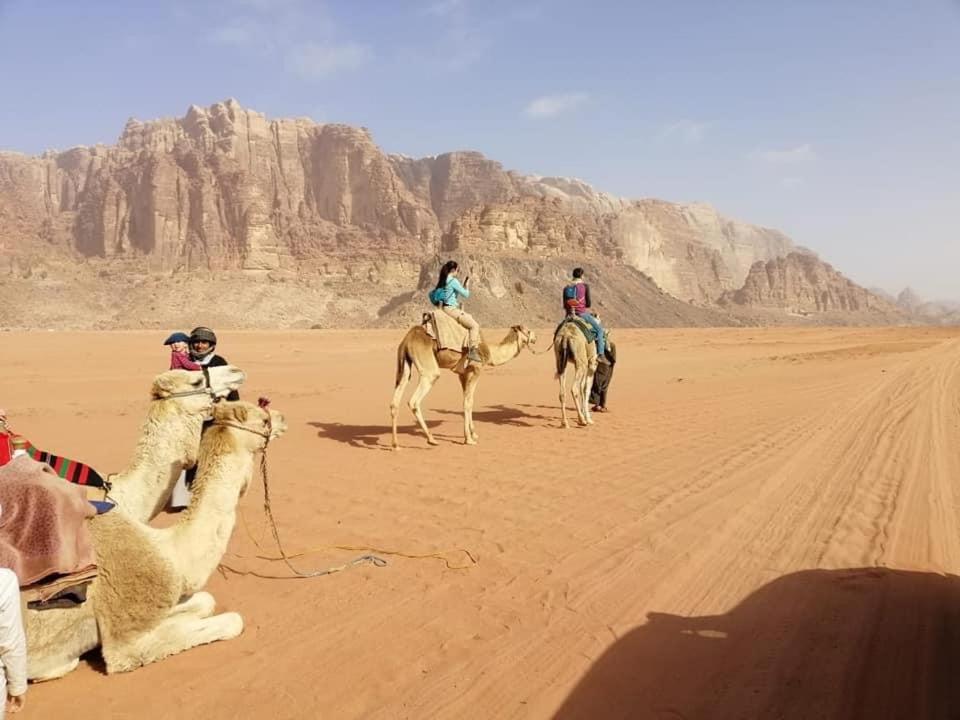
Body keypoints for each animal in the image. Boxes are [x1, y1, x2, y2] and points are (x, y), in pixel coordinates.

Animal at [24, 400, 284, 680]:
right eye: (263, 420)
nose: (282, 418)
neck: (170, 552)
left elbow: (205, 601)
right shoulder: (126, 640)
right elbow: (233, 620)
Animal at [392, 324, 540, 448]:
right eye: (527, 330)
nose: (535, 337)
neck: (490, 351)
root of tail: (406, 341)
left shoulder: (462, 374)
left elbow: (467, 401)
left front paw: (473, 434)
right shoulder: (475, 369)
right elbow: (468, 402)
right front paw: (468, 439)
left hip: (405, 365)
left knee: (395, 401)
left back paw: (395, 444)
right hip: (429, 370)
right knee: (414, 400)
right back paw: (431, 439)